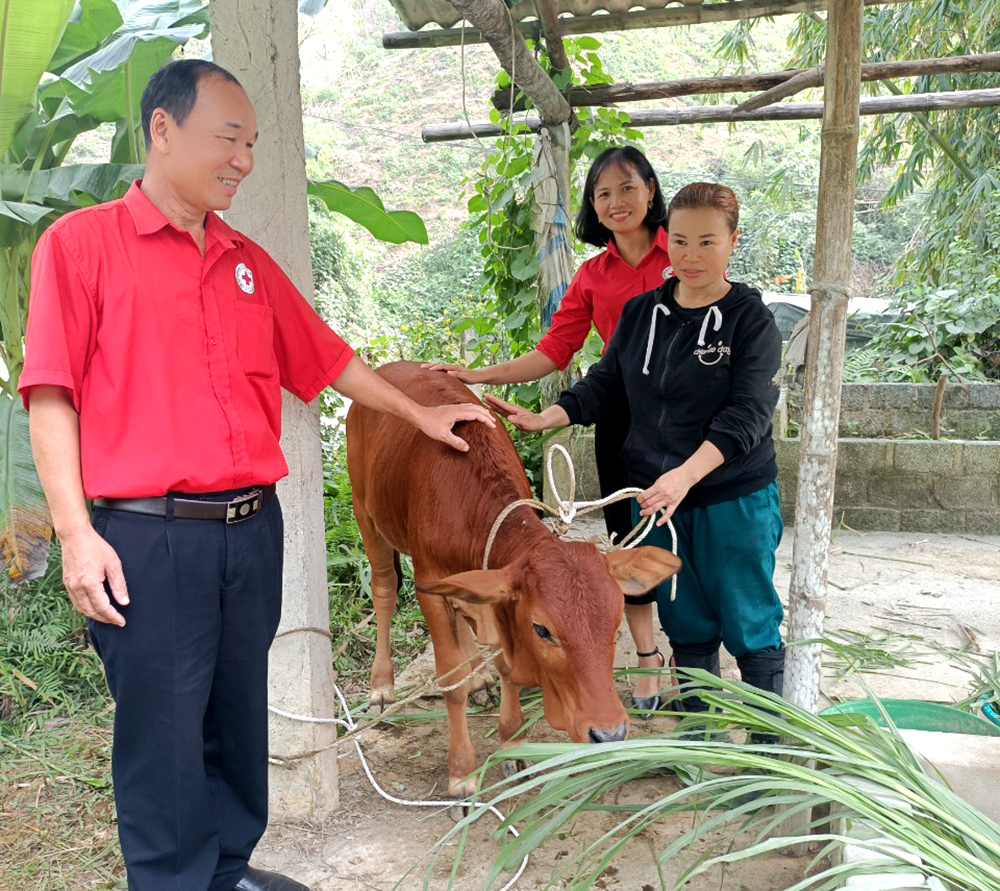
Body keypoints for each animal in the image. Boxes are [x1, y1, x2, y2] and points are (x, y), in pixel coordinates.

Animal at [344, 362, 680, 796]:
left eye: (615, 623)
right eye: (543, 630)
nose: (609, 733)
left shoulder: (494, 590)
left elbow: (504, 663)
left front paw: (514, 743)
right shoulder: (428, 584)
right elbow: (450, 678)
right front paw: (463, 772)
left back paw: (480, 676)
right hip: (365, 514)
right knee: (384, 590)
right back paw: (382, 687)